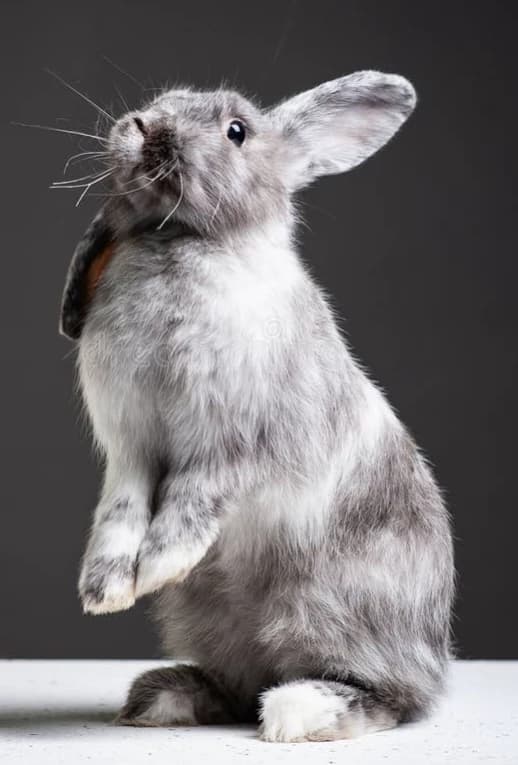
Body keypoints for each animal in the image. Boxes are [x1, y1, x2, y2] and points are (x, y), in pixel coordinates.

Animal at [60, 70, 454, 743]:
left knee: (394, 698)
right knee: (241, 684)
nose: (145, 127)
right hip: (213, 621)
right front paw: (107, 589)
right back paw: (164, 697)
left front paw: (155, 567)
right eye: (161, 100)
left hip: (332, 608)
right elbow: (122, 511)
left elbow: (188, 504)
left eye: (237, 131)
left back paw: (300, 711)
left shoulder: (231, 447)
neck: (178, 239)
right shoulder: (131, 447)